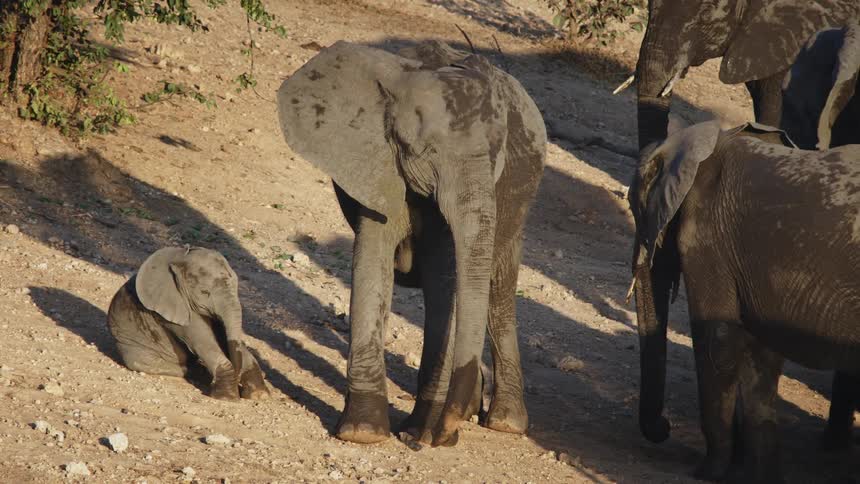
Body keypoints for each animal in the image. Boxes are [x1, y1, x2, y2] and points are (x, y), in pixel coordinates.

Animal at [107, 247, 269, 401]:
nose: (239, 382)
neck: (179, 257)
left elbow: (224, 337)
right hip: (131, 347)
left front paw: (259, 395)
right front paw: (227, 398)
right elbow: (203, 341)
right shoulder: (172, 308)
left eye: (236, 286)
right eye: (205, 292)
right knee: (145, 362)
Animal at [277, 40, 546, 446]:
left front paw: (419, 430)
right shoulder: (378, 163)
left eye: (498, 159)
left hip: (520, 200)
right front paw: (364, 433)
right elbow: (373, 260)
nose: (437, 439)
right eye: (427, 152)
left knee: (498, 288)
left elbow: (444, 279)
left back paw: (503, 423)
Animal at [628, 120, 860, 482]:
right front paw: (763, 477)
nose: (664, 427)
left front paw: (707, 472)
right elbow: (760, 355)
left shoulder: (709, 240)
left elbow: (717, 344)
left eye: (634, 209)